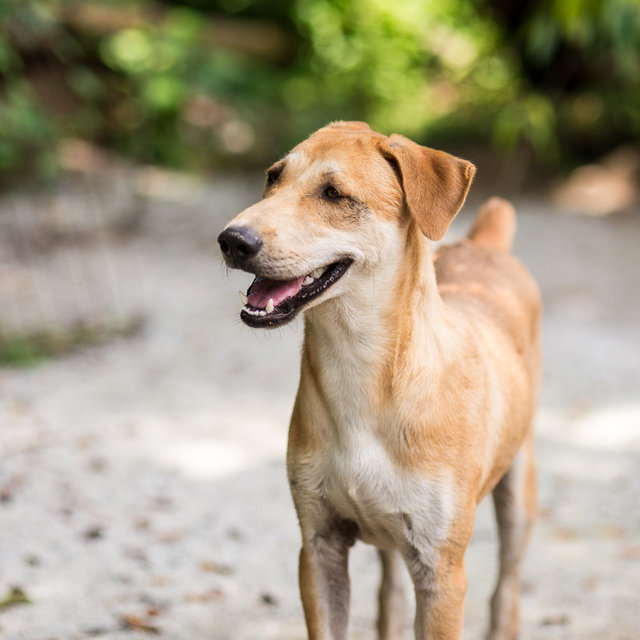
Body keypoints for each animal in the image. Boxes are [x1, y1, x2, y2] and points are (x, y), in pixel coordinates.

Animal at [219, 121, 540, 640]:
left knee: (505, 592)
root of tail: (485, 245)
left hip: (518, 494)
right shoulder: (319, 546)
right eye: (272, 177)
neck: (363, 373)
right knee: (389, 596)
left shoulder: (442, 572)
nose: (231, 239)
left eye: (333, 193)